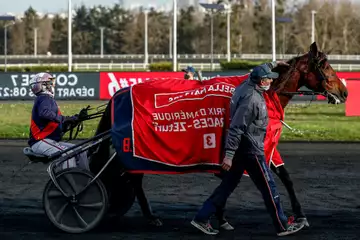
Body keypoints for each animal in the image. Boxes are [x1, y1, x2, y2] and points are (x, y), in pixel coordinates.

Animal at [86, 42, 346, 228]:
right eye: (324, 66)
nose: (344, 92)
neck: (262, 94)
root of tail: (119, 94)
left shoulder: (262, 145)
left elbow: (285, 177)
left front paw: (300, 215)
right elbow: (230, 179)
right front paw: (220, 218)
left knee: (131, 177)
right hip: (134, 147)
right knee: (133, 178)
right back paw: (143, 214)